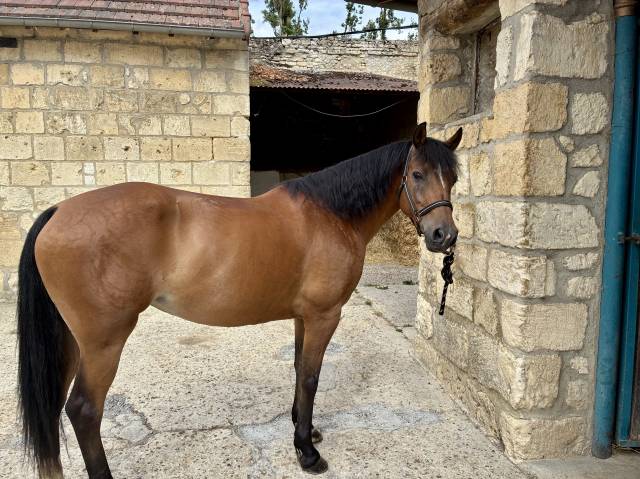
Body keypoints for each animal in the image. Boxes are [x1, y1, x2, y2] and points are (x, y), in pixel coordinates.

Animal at [16, 122, 461, 478]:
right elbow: (312, 376)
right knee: (84, 411)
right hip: (104, 343)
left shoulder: (302, 317)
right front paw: (307, 452)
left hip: (72, 342)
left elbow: (298, 369)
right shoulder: (324, 316)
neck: (330, 215)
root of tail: (58, 211)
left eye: (453, 179)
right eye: (417, 174)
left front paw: (303, 429)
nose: (445, 236)